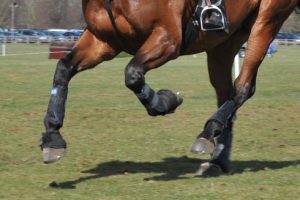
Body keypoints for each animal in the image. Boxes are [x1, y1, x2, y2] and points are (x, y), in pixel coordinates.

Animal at [40, 0, 300, 175]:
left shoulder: (168, 38)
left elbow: (132, 74)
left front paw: (164, 102)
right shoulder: (103, 41)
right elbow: (63, 69)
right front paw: (53, 138)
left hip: (266, 20)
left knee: (243, 87)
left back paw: (208, 133)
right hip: (224, 42)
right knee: (226, 92)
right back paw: (217, 156)